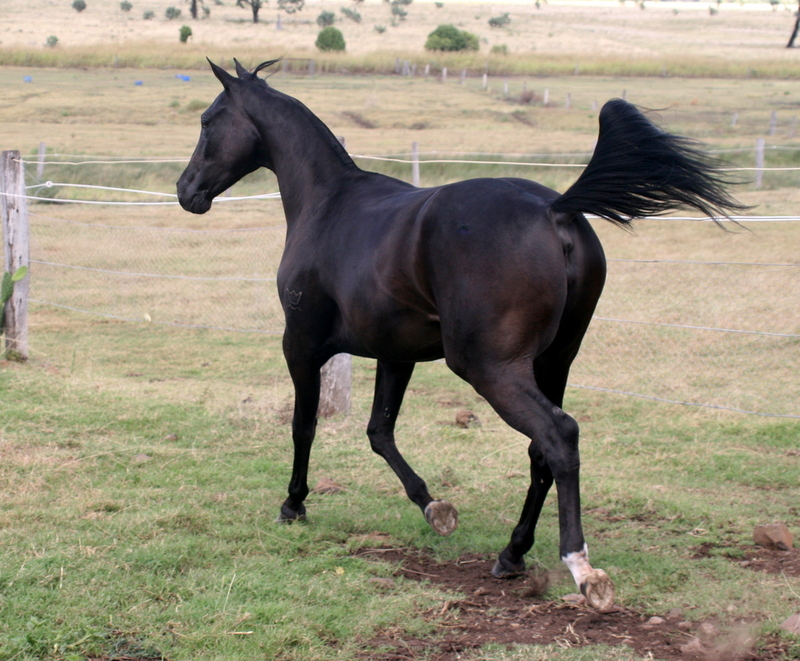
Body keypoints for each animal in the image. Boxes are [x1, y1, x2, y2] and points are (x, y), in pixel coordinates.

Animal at [177, 59, 745, 611]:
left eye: (208, 120)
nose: (186, 191)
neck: (327, 203)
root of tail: (554, 209)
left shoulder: (300, 345)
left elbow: (304, 426)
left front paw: (293, 503)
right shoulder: (395, 354)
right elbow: (379, 432)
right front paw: (435, 508)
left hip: (490, 369)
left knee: (559, 436)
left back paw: (581, 568)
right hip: (552, 363)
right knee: (541, 450)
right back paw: (512, 553)